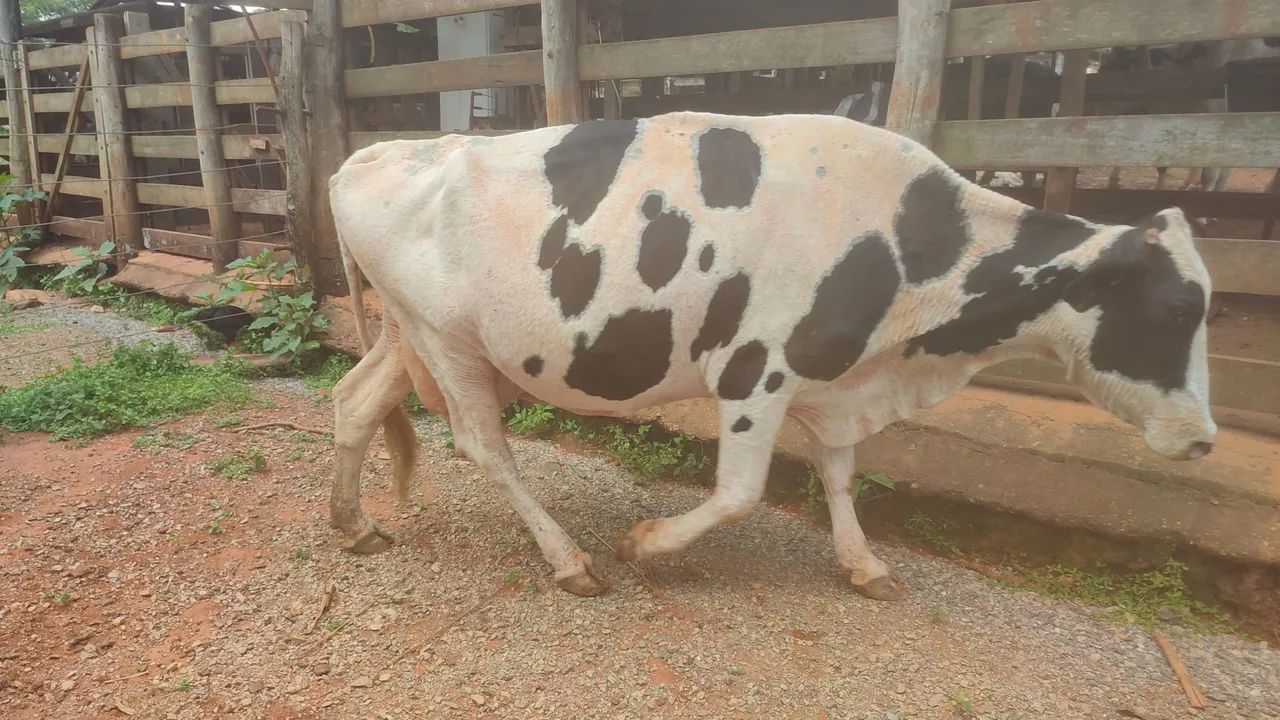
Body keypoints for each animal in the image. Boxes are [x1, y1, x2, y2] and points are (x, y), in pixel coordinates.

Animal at [327, 111, 1217, 601]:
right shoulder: (756, 369)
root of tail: (373, 153)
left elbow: (840, 473)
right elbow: (740, 493)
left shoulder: (832, 375)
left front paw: (864, 565)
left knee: (356, 401)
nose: (1205, 438)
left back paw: (353, 525)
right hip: (449, 339)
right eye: (1179, 308)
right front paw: (645, 544)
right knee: (483, 444)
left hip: (406, 331)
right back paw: (570, 559)